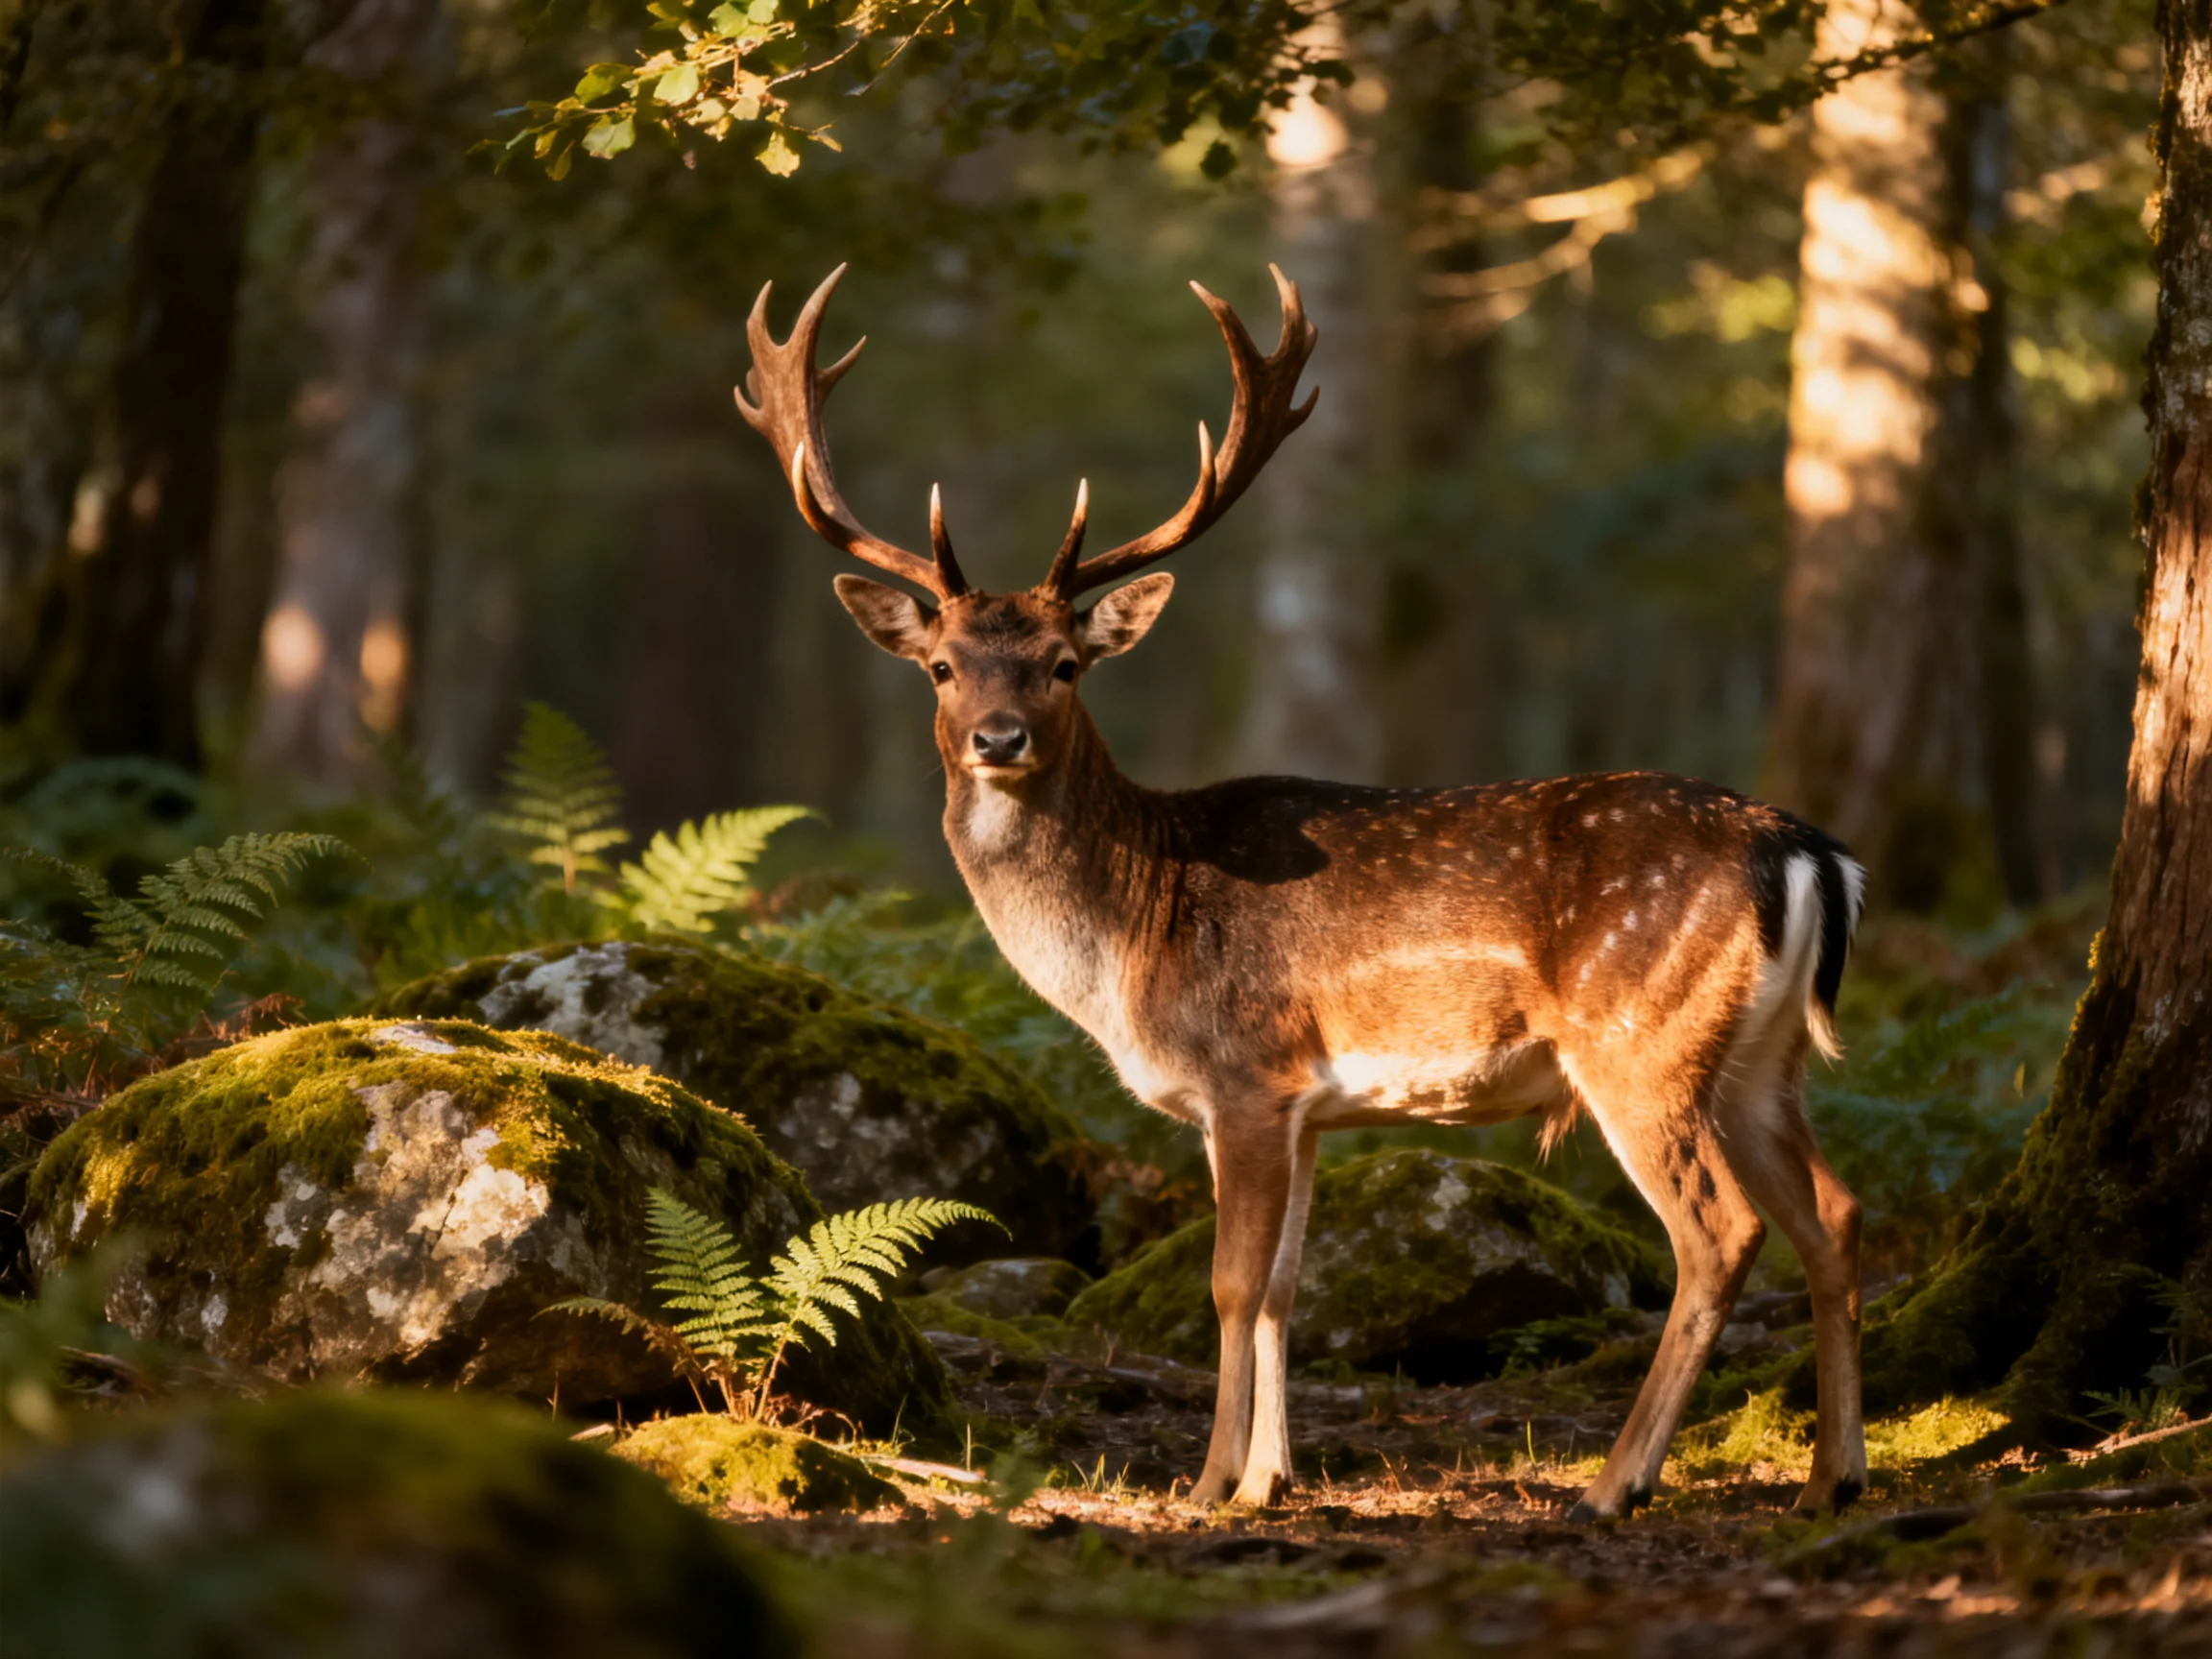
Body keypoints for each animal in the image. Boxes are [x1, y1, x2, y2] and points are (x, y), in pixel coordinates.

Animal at [733, 264, 1870, 1520]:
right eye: (942, 667)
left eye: (1065, 665)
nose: (998, 737)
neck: (1133, 935)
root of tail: (1805, 850)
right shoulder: (1306, 1107)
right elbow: (1284, 1287)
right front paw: (1268, 1481)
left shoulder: (1243, 1073)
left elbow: (1230, 1287)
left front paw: (1205, 1487)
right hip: (1758, 1054)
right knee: (1835, 1213)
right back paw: (1833, 1478)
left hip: (1641, 1037)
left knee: (1720, 1232)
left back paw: (1614, 1483)